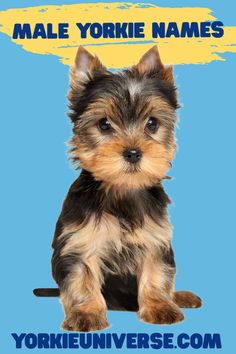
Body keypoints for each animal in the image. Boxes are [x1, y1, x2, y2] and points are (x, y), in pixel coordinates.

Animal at [34, 45, 202, 332]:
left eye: (152, 124)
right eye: (103, 124)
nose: (133, 153)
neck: (121, 189)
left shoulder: (155, 239)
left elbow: (156, 273)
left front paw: (159, 306)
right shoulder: (80, 242)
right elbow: (82, 279)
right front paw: (86, 313)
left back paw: (179, 297)